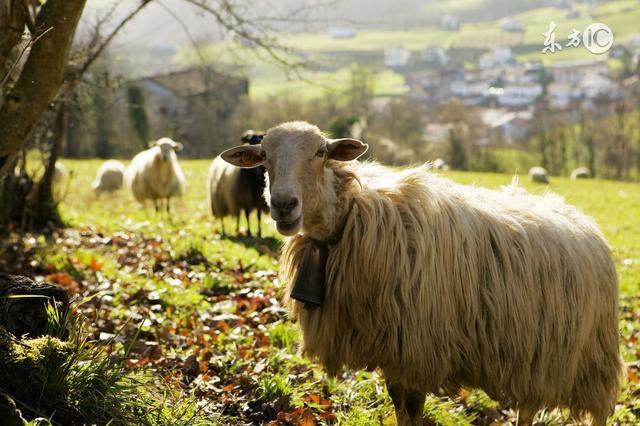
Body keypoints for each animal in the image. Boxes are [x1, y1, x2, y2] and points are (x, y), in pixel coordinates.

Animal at [222, 121, 624, 426]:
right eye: (264, 157)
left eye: (321, 152)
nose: (283, 205)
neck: (353, 218)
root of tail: (582, 219)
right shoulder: (392, 346)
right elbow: (399, 405)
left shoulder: (418, 346)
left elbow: (412, 408)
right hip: (538, 352)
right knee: (528, 406)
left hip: (591, 356)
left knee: (598, 410)